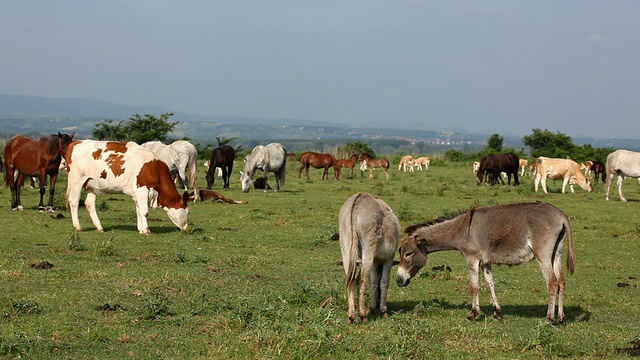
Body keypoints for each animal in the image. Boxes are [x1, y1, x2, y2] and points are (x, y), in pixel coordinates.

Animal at [398, 204, 576, 324]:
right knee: (561, 282)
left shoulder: (472, 258)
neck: (461, 229)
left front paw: (473, 314)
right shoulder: (485, 262)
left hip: (543, 255)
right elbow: (490, 285)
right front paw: (497, 312)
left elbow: (474, 286)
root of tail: (561, 215)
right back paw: (560, 318)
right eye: (400, 251)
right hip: (556, 254)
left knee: (552, 283)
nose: (399, 280)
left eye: (408, 253)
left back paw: (549, 318)